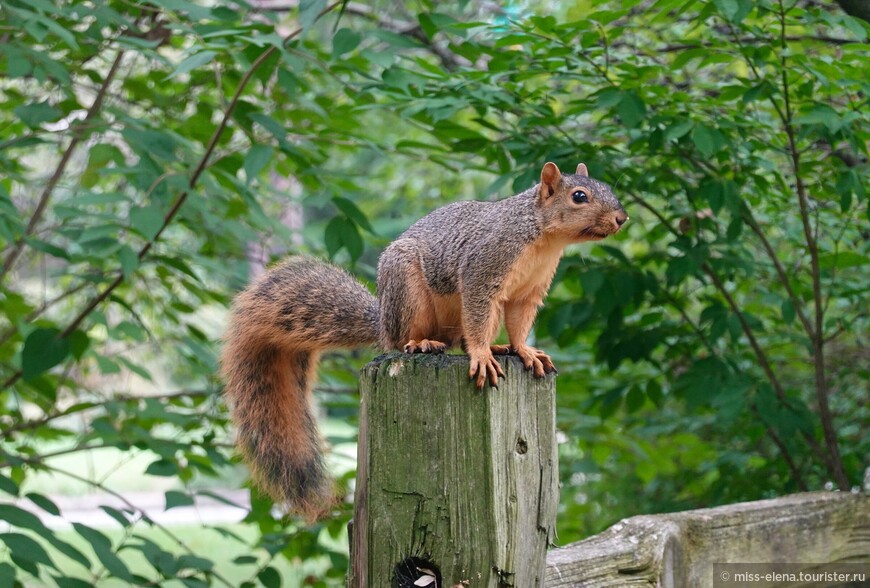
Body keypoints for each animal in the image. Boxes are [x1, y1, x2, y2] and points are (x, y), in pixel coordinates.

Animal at [218, 161, 628, 516]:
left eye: (607, 188)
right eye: (579, 196)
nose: (622, 218)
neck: (542, 237)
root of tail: (383, 320)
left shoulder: (527, 292)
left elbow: (519, 324)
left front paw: (524, 350)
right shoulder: (482, 273)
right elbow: (478, 316)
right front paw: (482, 356)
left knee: (458, 339)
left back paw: (492, 347)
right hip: (407, 292)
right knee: (408, 339)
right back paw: (423, 344)